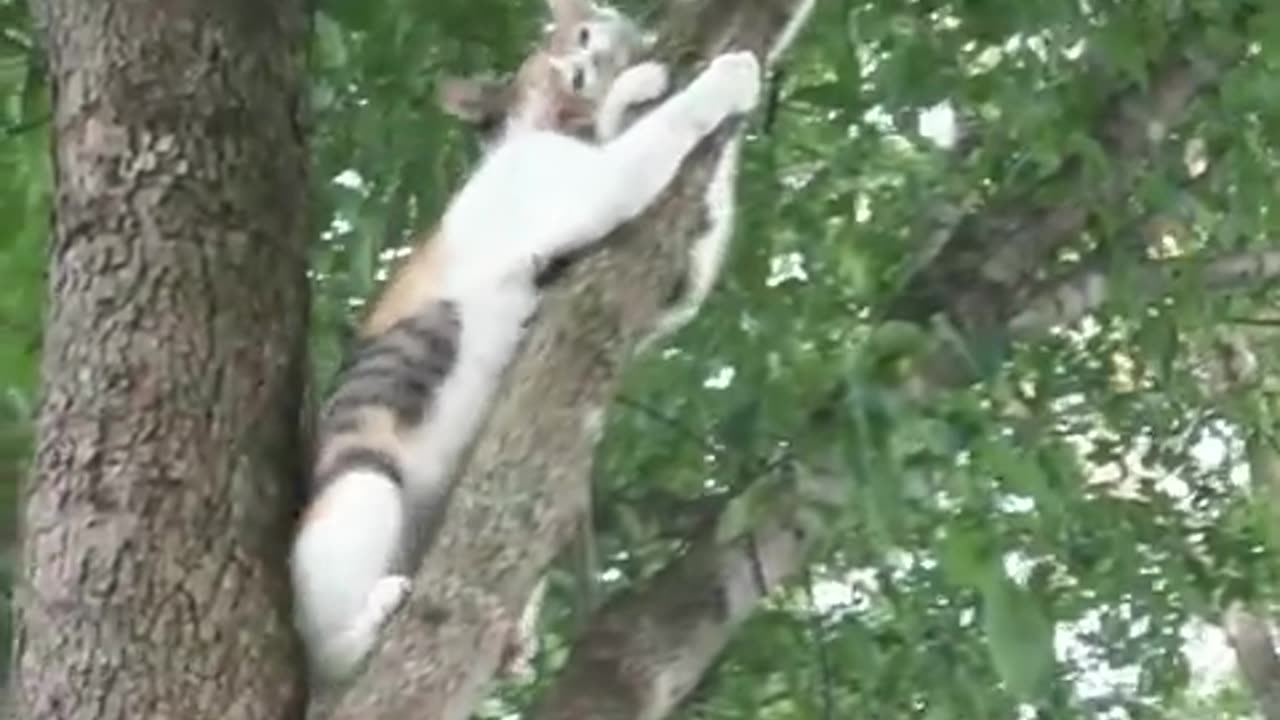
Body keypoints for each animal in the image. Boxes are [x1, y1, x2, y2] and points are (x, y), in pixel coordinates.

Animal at [290, 0, 757, 681]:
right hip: (364, 482)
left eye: (584, 34)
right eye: (562, 57)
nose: (581, 72)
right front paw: (729, 74)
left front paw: (642, 87)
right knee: (325, 645)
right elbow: (667, 126)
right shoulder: (582, 183)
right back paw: (369, 627)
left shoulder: (670, 286)